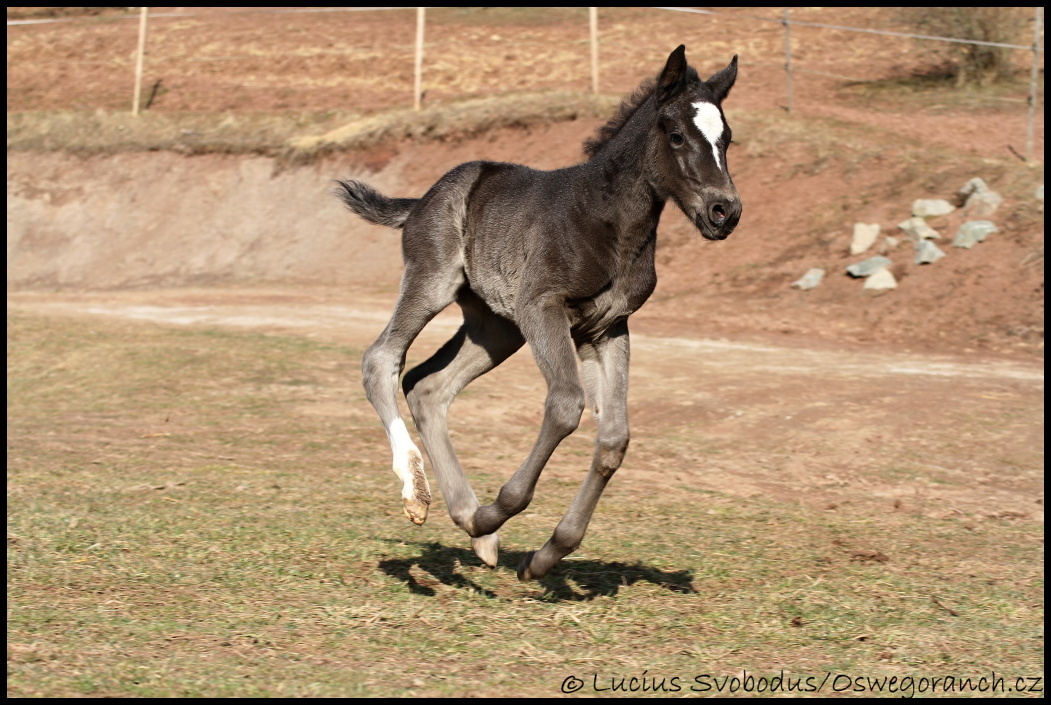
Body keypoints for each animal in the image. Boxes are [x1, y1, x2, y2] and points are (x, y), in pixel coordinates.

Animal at [334, 46, 739, 579]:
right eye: (676, 136)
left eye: (727, 139)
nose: (724, 211)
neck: (608, 221)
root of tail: (421, 200)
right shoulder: (542, 306)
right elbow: (566, 406)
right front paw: (498, 513)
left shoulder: (608, 328)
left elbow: (614, 439)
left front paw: (546, 554)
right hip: (433, 282)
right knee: (381, 360)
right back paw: (420, 495)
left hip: (495, 327)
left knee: (427, 386)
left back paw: (473, 527)